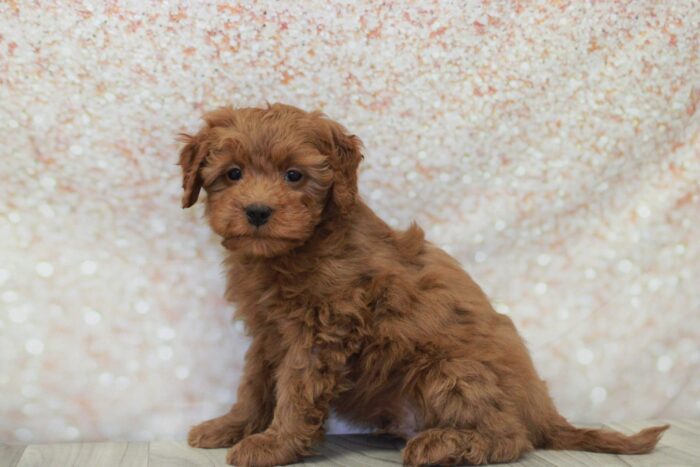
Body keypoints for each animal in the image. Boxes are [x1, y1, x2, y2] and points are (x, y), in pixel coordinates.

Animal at [179, 104, 668, 466]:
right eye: (233, 173)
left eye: (294, 176)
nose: (258, 211)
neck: (297, 248)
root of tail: (543, 413)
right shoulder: (270, 331)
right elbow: (255, 383)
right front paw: (231, 426)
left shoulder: (322, 331)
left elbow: (296, 391)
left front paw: (273, 444)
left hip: (452, 370)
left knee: (510, 437)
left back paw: (448, 445)